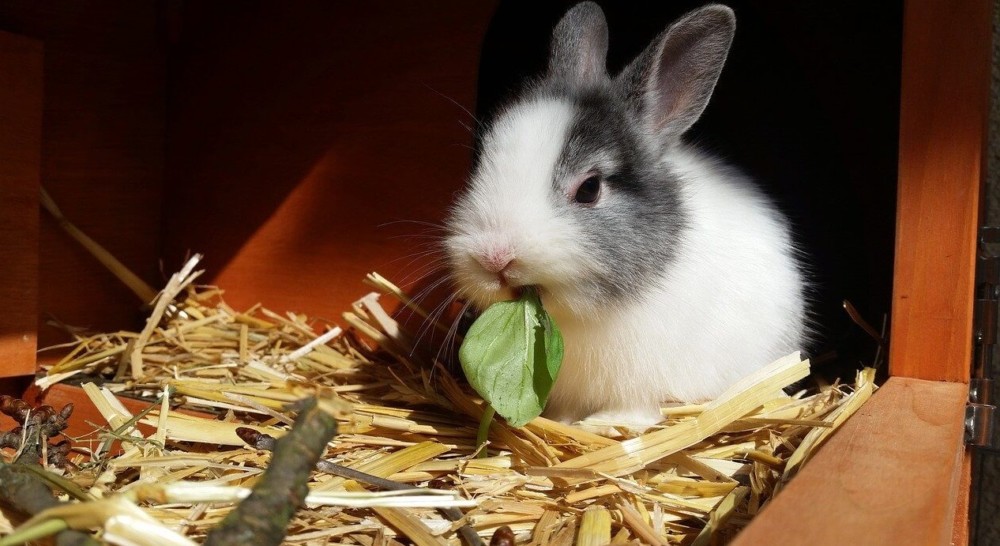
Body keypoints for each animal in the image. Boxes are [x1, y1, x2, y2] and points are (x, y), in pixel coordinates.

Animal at [442, 2, 808, 428]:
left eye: (589, 189)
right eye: (482, 162)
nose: (494, 258)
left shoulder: (645, 383)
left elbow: (637, 409)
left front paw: (601, 423)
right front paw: (564, 422)